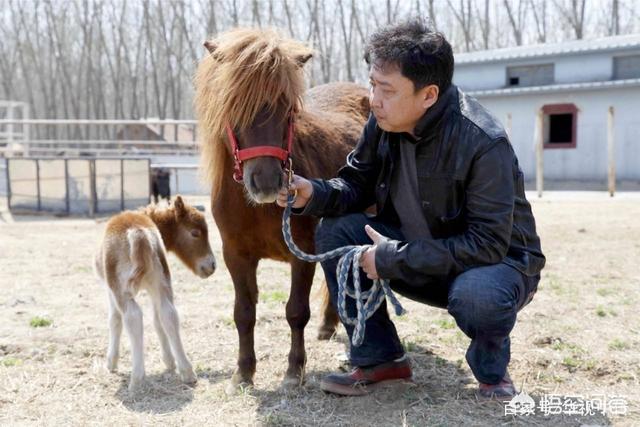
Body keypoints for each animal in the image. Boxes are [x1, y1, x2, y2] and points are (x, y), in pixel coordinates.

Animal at [192, 25, 368, 388]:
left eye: (287, 109)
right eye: (234, 106)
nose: (268, 182)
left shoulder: (302, 252)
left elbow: (296, 311)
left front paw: (293, 371)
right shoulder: (236, 255)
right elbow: (243, 312)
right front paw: (243, 372)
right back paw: (328, 326)